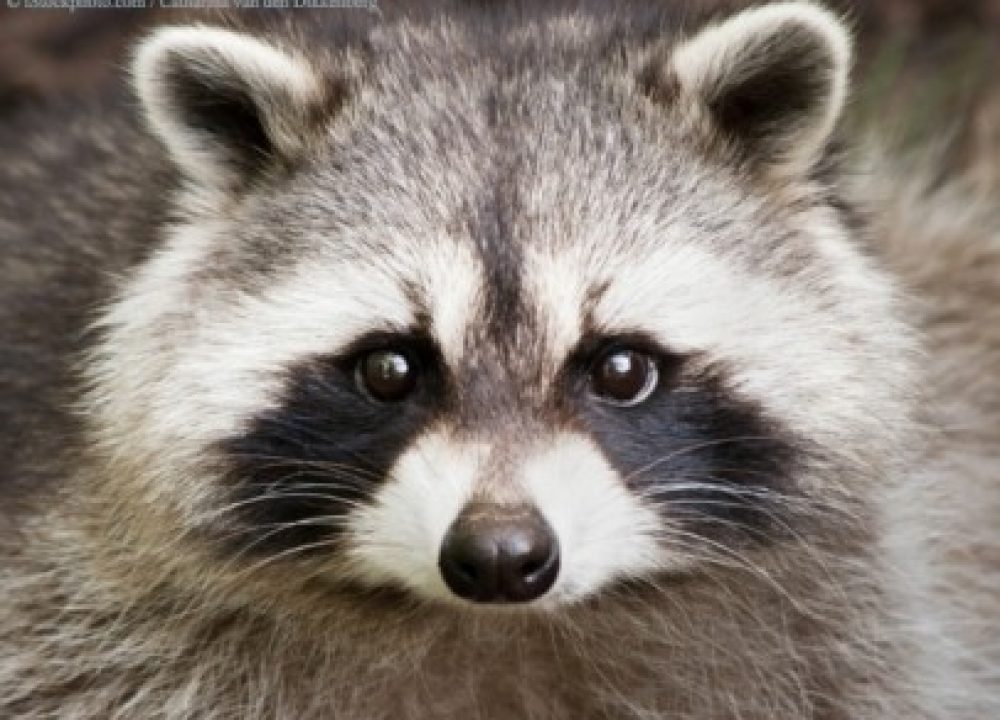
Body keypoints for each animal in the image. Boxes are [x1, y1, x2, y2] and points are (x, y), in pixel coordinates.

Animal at [1, 2, 998, 718]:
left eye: (621, 368)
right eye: (389, 369)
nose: (499, 557)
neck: (500, 631)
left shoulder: (857, 619)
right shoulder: (85, 618)